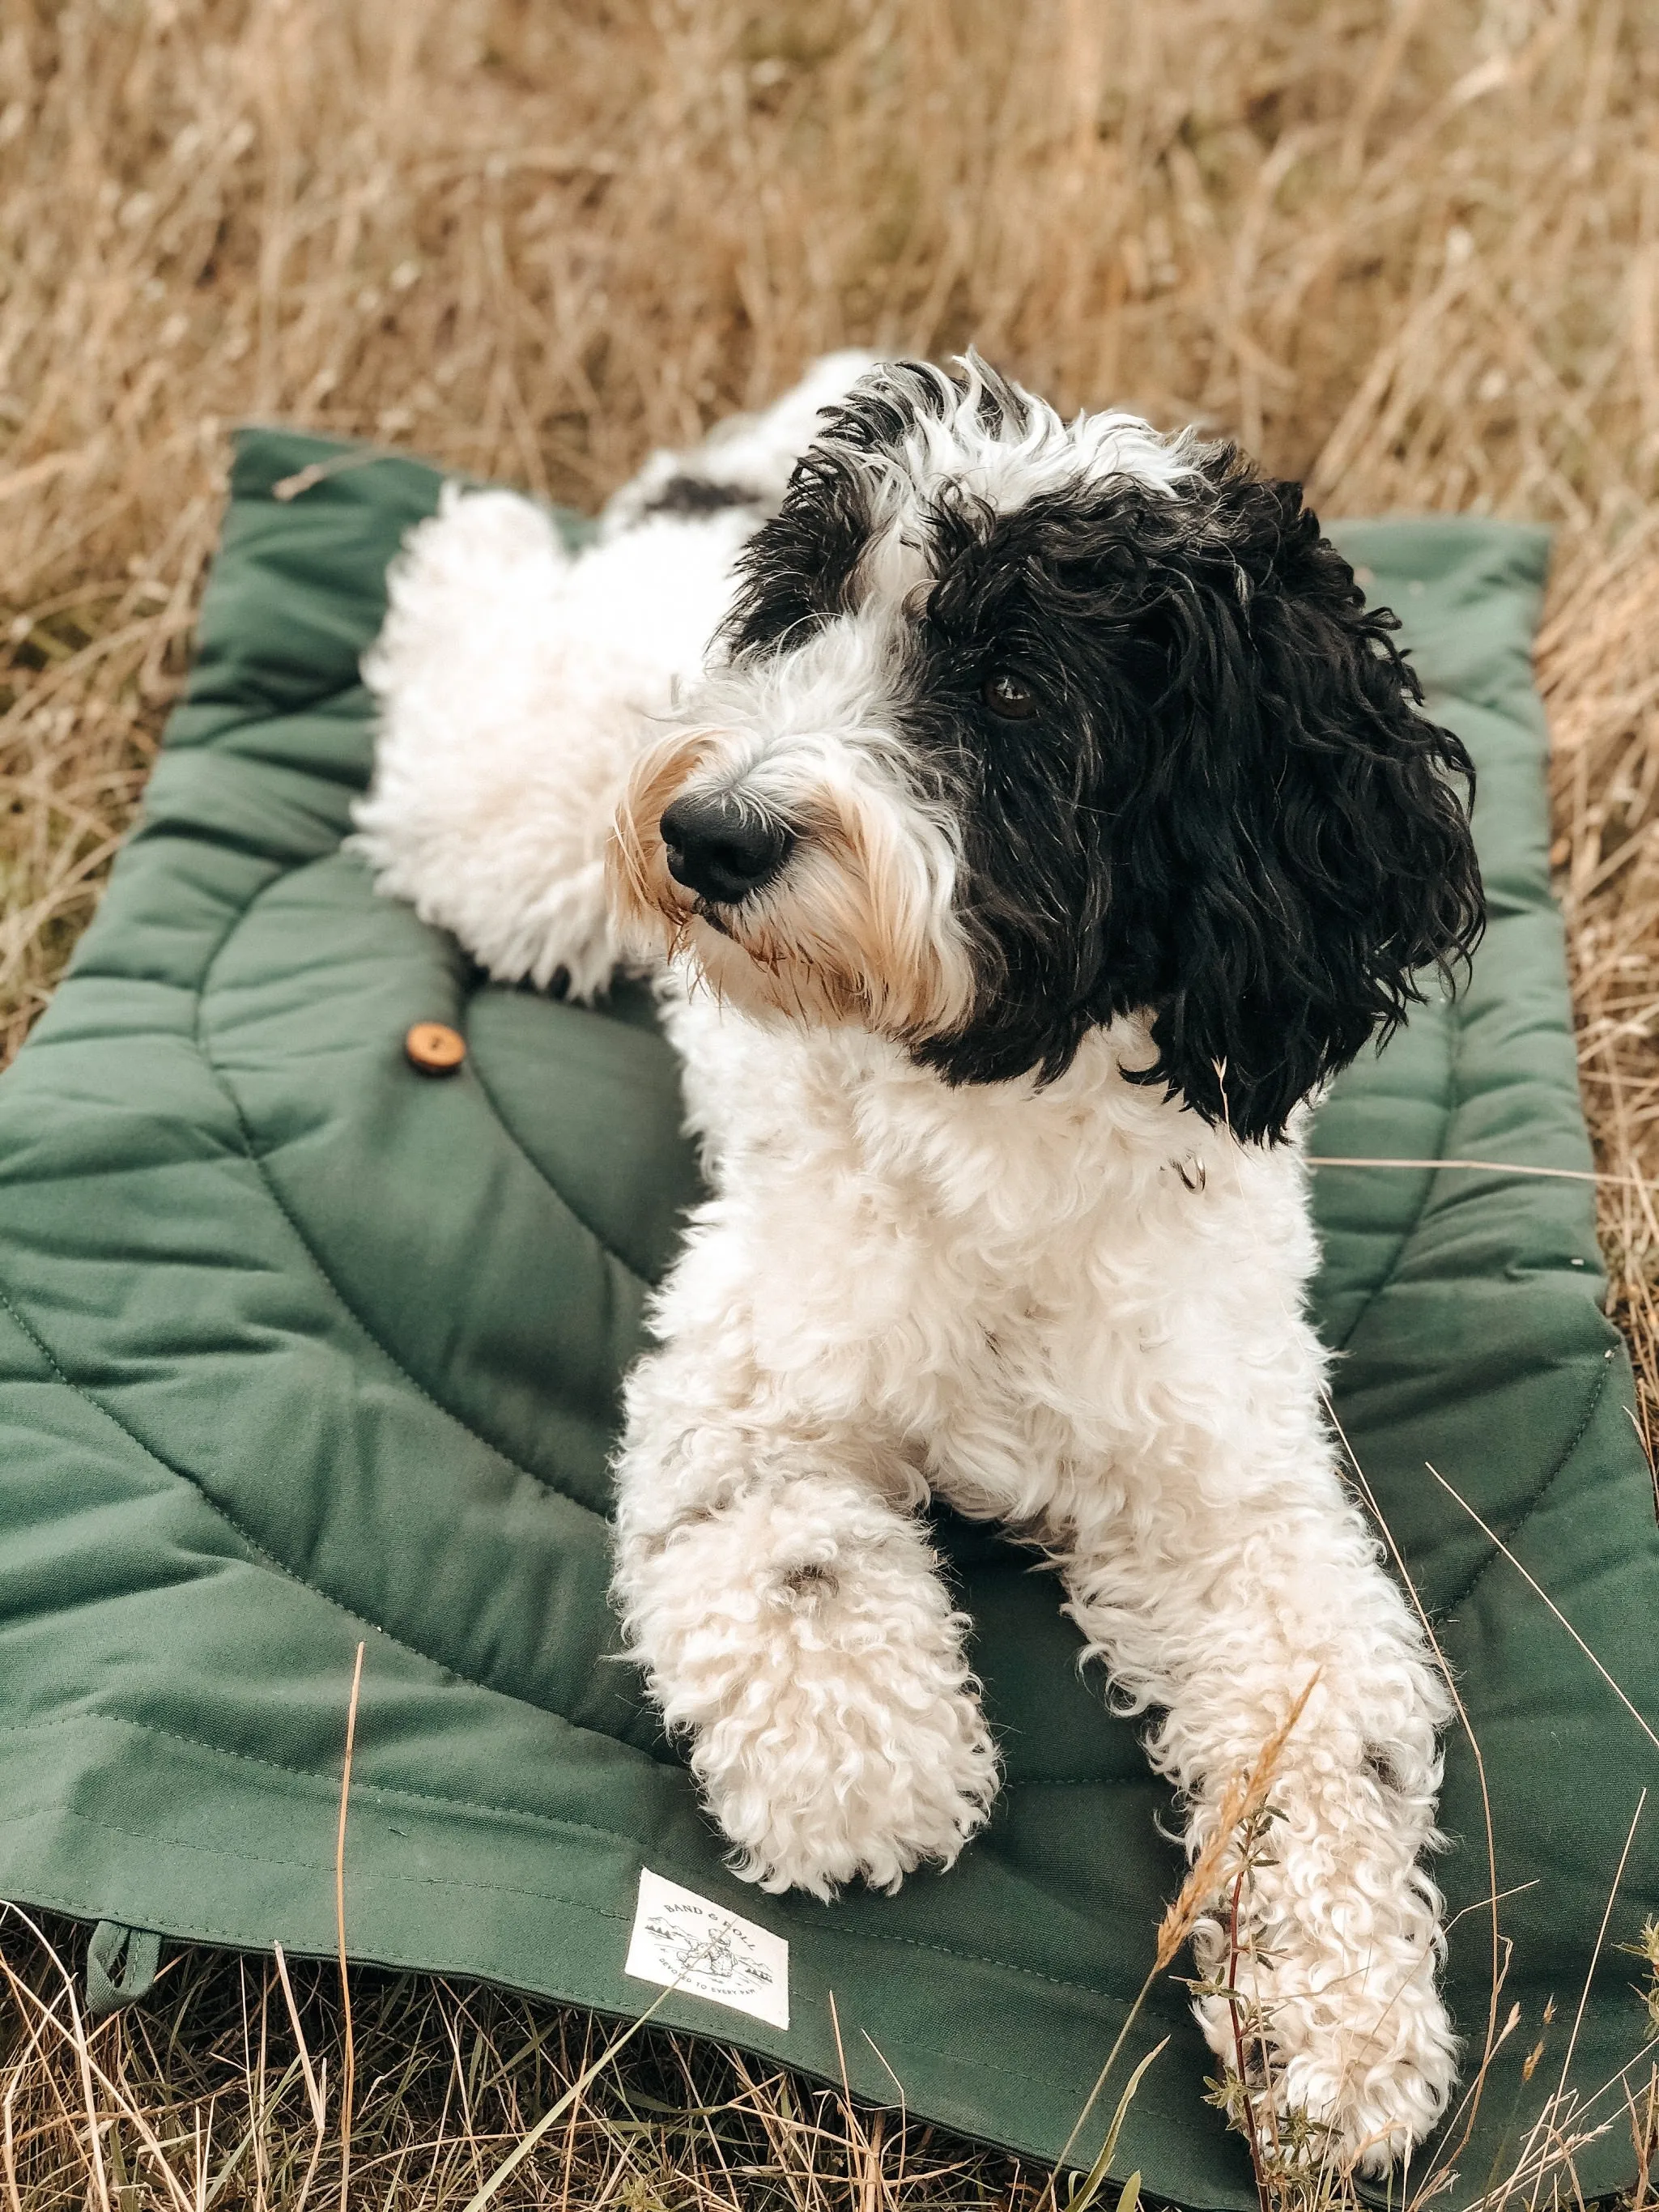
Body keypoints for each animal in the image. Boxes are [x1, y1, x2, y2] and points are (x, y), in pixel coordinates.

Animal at [358, 354, 1486, 2167]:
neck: (1003, 1124)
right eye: (803, 618)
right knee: (454, 677)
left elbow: (1324, 1745)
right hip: (529, 832)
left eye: (1014, 688)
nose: (710, 832)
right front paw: (860, 1772)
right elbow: (792, 1560)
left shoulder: (1235, 1491)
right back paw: (474, 538)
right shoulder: (754, 1367)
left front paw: (1335, 2027)